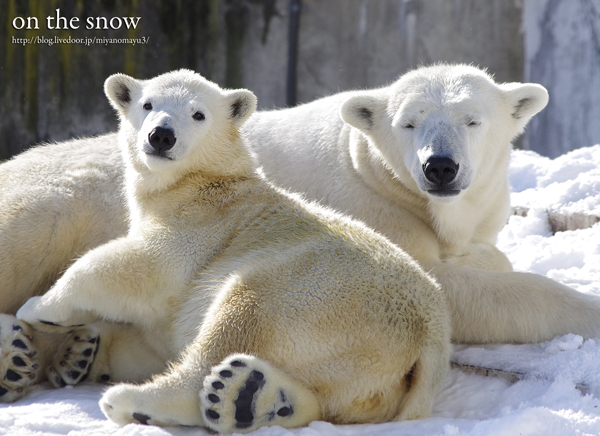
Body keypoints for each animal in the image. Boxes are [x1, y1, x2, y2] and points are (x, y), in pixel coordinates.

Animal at [1, 63, 600, 348]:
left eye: (473, 120)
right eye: (408, 123)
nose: (440, 167)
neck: (379, 173)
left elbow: (482, 252)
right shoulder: (373, 213)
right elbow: (453, 287)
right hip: (57, 202)